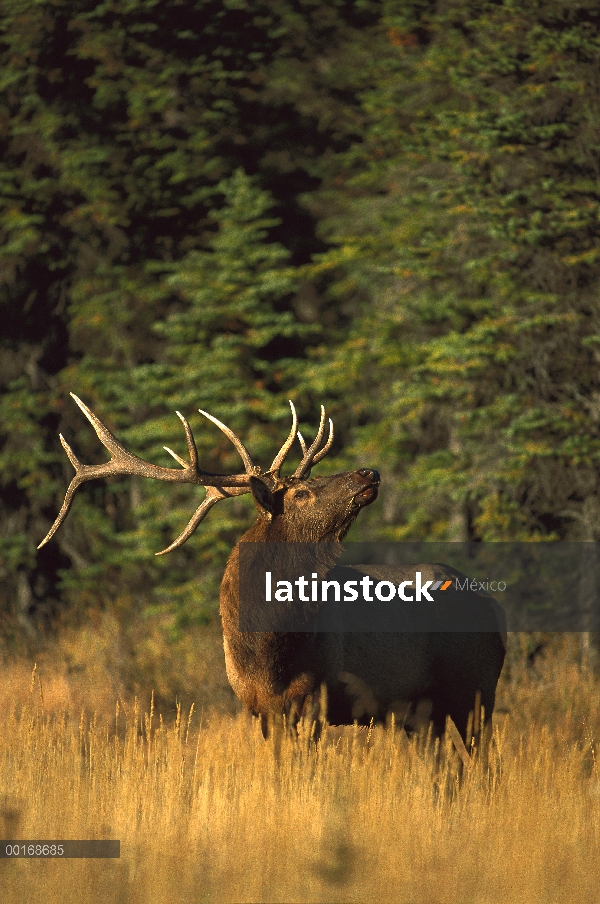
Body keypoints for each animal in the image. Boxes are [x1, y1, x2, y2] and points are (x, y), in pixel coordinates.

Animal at [38, 394, 506, 740]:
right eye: (301, 493)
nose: (368, 471)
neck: (266, 648)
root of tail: (493, 605)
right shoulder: (258, 707)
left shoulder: (315, 697)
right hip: (424, 713)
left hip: (477, 688)